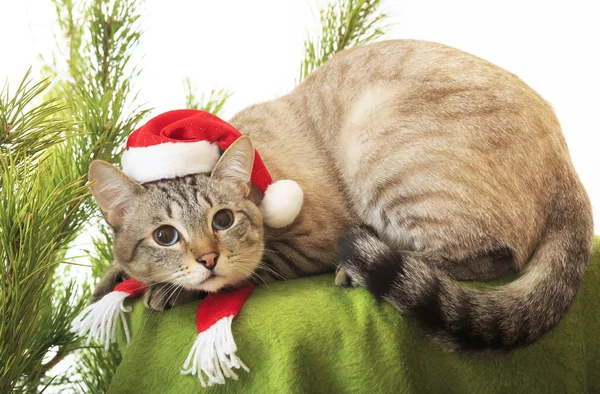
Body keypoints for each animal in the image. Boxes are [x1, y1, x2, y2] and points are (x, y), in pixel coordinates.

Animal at [90, 39, 596, 348]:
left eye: (223, 220)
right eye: (165, 236)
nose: (207, 257)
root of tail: (571, 171)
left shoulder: (308, 243)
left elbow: (241, 273)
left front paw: (163, 289)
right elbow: (119, 271)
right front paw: (115, 282)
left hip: (376, 143)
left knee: (489, 258)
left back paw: (354, 272)